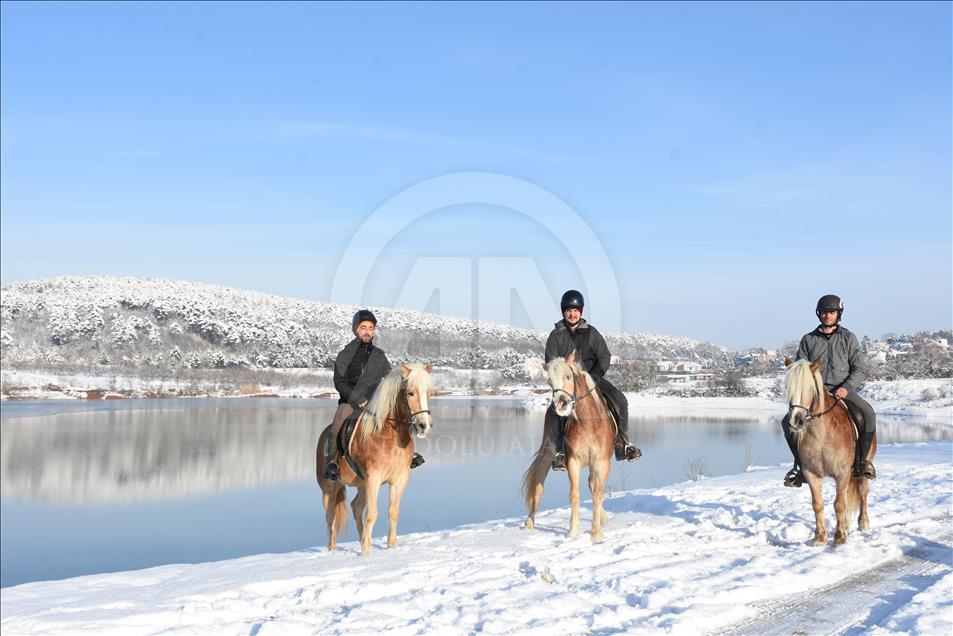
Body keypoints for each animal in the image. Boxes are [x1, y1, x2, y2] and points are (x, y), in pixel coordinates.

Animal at [316, 366, 436, 556]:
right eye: (410, 393)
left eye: (429, 393)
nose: (424, 425)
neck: (389, 436)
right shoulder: (374, 478)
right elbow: (372, 514)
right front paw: (366, 552)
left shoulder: (399, 479)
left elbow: (393, 511)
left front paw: (391, 545)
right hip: (329, 488)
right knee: (330, 517)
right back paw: (332, 550)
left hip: (361, 485)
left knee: (356, 507)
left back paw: (361, 540)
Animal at [524, 350, 612, 544]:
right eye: (549, 381)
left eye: (568, 376)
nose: (561, 403)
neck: (589, 422)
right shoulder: (573, 462)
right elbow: (574, 495)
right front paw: (573, 531)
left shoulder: (601, 463)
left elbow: (598, 494)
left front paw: (596, 533)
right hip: (547, 453)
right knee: (538, 486)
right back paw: (529, 522)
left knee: (593, 487)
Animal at [784, 358, 872, 548]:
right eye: (788, 388)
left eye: (810, 388)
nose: (796, 421)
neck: (821, 435)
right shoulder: (810, 473)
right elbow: (818, 504)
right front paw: (820, 537)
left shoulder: (842, 473)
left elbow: (839, 504)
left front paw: (839, 538)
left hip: (861, 471)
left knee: (863, 491)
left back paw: (863, 523)